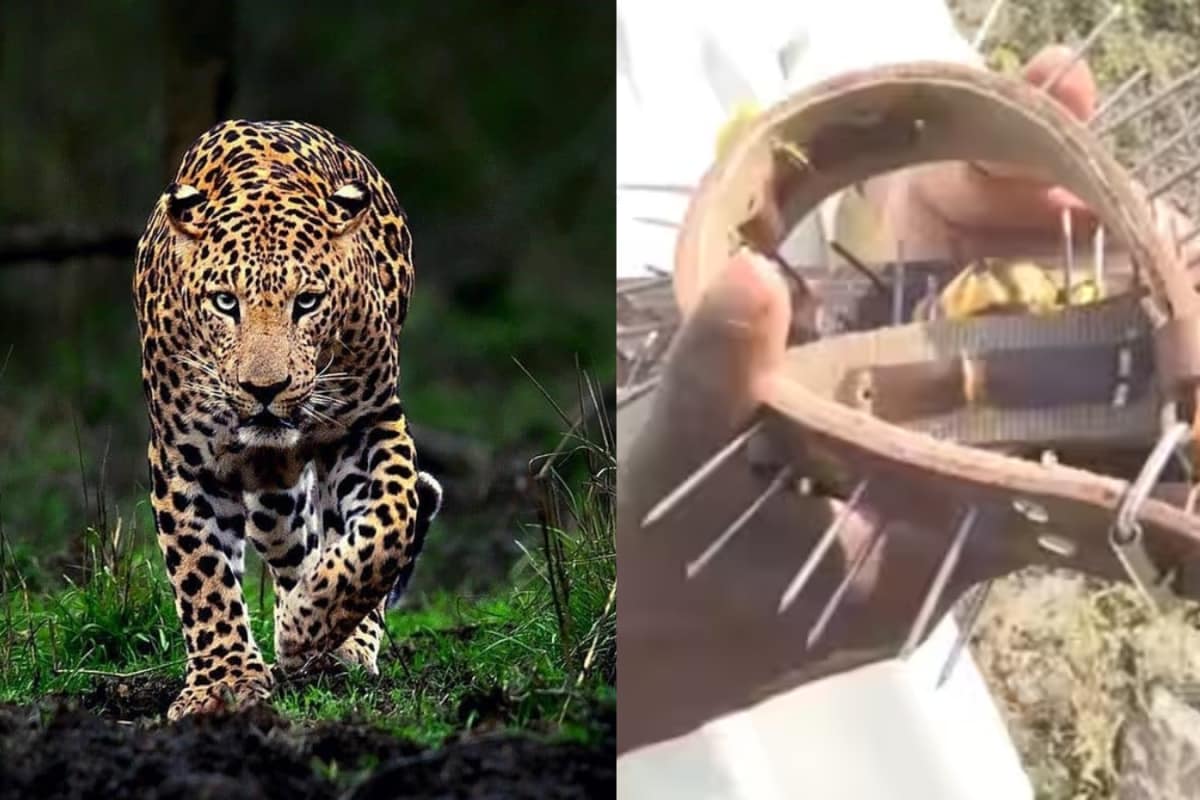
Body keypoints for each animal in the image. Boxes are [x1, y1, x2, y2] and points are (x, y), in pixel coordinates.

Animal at [132, 119, 443, 720]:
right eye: (225, 302)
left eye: (307, 302)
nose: (264, 389)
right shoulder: (183, 456)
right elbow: (202, 573)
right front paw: (223, 684)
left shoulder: (369, 422)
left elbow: (389, 525)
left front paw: (308, 626)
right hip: (272, 497)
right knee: (291, 544)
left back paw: (337, 642)